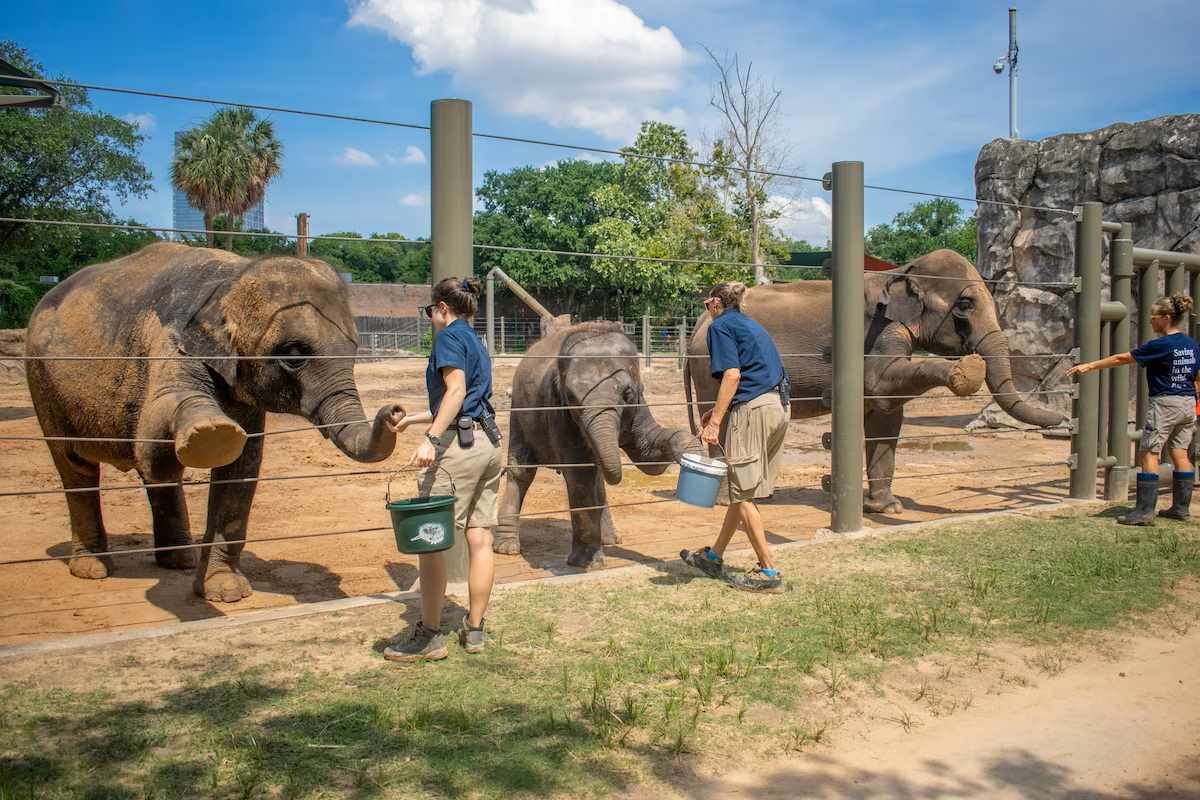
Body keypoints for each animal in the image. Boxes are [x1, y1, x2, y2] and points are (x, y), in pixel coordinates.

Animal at [25, 242, 403, 599]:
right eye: (294, 354)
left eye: (354, 349)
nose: (394, 412)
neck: (230, 279)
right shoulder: (169, 343)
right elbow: (150, 440)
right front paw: (211, 430)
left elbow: (242, 469)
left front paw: (225, 590)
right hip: (42, 384)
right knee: (76, 469)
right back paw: (93, 568)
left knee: (154, 478)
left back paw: (179, 560)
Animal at [492, 321, 691, 568]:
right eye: (571, 396)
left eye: (627, 393)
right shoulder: (557, 409)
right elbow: (579, 472)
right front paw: (587, 563)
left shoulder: (639, 404)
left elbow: (648, 454)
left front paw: (691, 449)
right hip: (519, 412)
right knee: (522, 470)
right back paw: (507, 548)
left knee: (597, 477)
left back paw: (611, 539)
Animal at [691, 248, 1065, 513]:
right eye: (964, 304)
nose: (1062, 420)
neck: (901, 270)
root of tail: (699, 323)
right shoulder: (876, 331)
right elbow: (880, 385)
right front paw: (966, 372)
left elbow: (886, 413)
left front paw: (886, 508)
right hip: (711, 370)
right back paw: (727, 502)